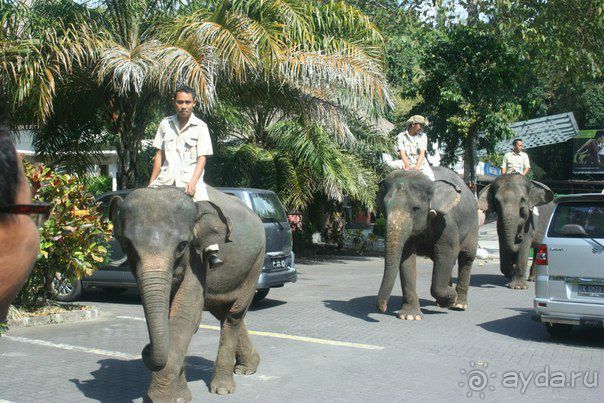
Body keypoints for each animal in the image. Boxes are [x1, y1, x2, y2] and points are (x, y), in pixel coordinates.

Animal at [109, 186, 266, 400]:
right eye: (128, 246)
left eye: (182, 246)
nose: (147, 349)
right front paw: (181, 397)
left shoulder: (197, 258)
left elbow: (186, 315)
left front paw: (159, 399)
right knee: (222, 310)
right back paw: (247, 367)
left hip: (256, 262)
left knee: (234, 314)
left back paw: (223, 388)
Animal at [378, 168, 476, 322]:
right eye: (384, 207)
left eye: (415, 208)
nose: (382, 308)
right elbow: (406, 257)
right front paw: (409, 316)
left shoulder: (446, 223)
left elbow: (448, 252)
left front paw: (450, 299)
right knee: (439, 260)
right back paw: (441, 302)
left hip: (474, 225)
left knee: (466, 258)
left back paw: (459, 305)